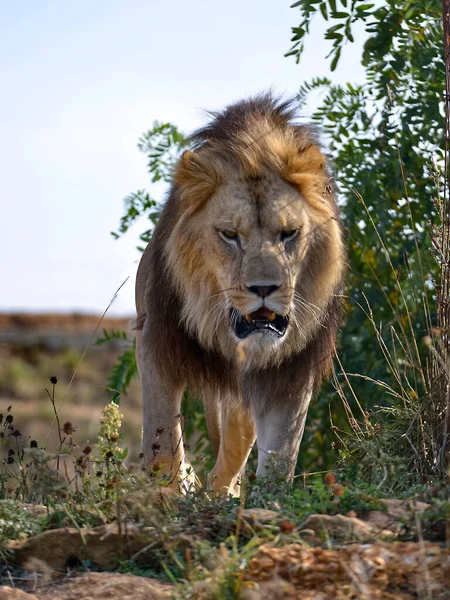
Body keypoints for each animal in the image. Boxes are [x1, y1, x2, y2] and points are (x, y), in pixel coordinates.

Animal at [134, 94, 344, 494]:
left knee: (232, 453)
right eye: (230, 235)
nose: (264, 289)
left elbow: (280, 456)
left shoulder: (290, 372)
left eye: (289, 233)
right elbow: (163, 442)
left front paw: (268, 498)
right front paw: (169, 487)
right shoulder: (156, 339)